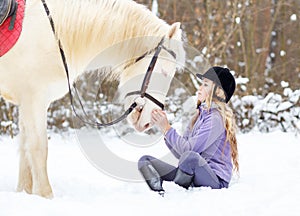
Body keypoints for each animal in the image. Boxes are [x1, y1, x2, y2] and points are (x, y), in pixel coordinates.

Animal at [0, 0, 185, 198]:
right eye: (164, 71)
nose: (149, 120)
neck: (54, 33)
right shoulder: (35, 100)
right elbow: (38, 148)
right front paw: (45, 195)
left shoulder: (26, 102)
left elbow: (25, 148)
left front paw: (24, 192)